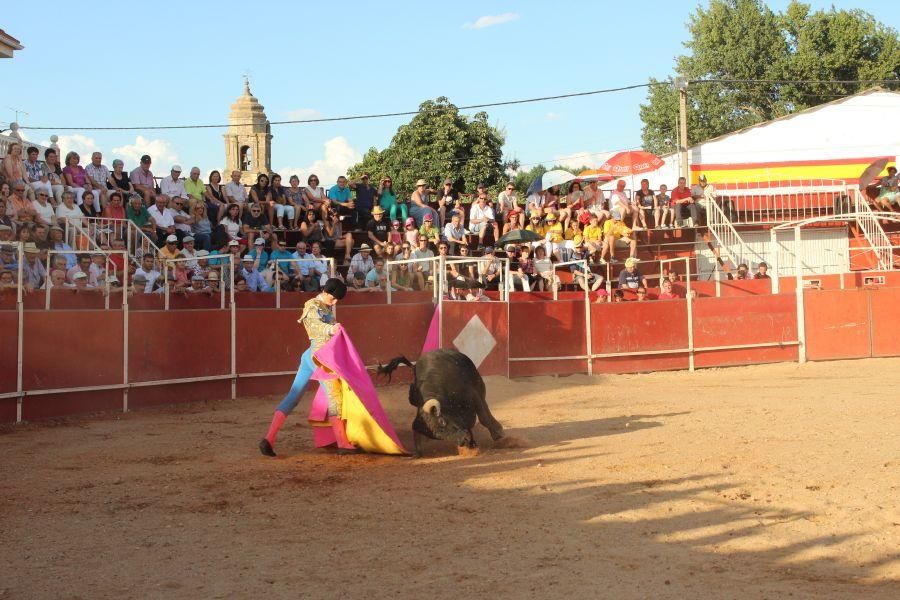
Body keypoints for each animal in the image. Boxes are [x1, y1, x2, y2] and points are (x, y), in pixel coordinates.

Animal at [378, 346, 506, 454]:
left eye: (442, 421)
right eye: (439, 435)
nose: (463, 441)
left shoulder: (472, 394)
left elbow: (484, 417)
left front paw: (499, 434)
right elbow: (466, 424)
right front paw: (471, 444)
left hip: (479, 386)